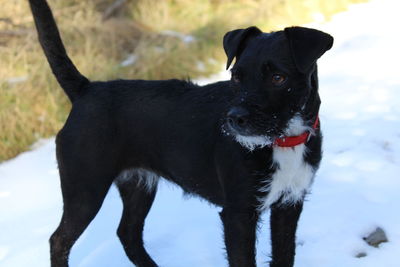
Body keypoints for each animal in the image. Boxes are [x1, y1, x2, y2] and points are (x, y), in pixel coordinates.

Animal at [29, 1, 332, 266]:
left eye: (278, 78)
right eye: (236, 76)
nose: (234, 119)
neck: (282, 141)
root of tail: (86, 89)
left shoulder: (289, 203)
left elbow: (284, 255)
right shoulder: (239, 213)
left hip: (138, 183)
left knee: (128, 233)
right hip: (85, 188)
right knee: (59, 240)